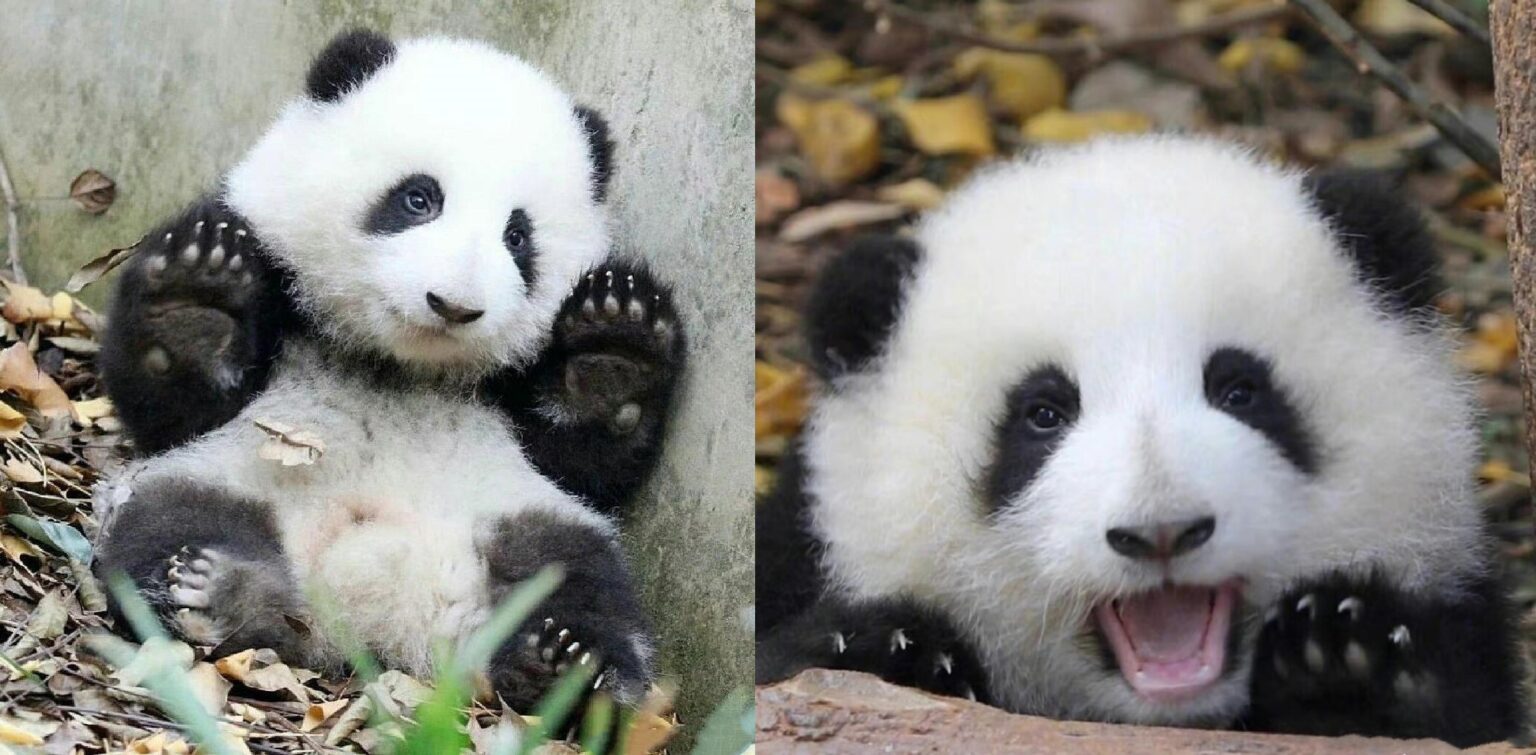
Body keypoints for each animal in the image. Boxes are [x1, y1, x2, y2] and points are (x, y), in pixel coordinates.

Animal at [91, 29, 684, 710]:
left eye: (517, 236)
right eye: (418, 198)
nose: (454, 305)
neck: (397, 365)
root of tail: (389, 617)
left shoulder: (521, 407)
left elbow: (585, 464)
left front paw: (615, 343)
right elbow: (172, 413)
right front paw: (198, 294)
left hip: (517, 509)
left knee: (578, 577)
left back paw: (571, 668)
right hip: (230, 475)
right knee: (168, 525)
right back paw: (223, 595)